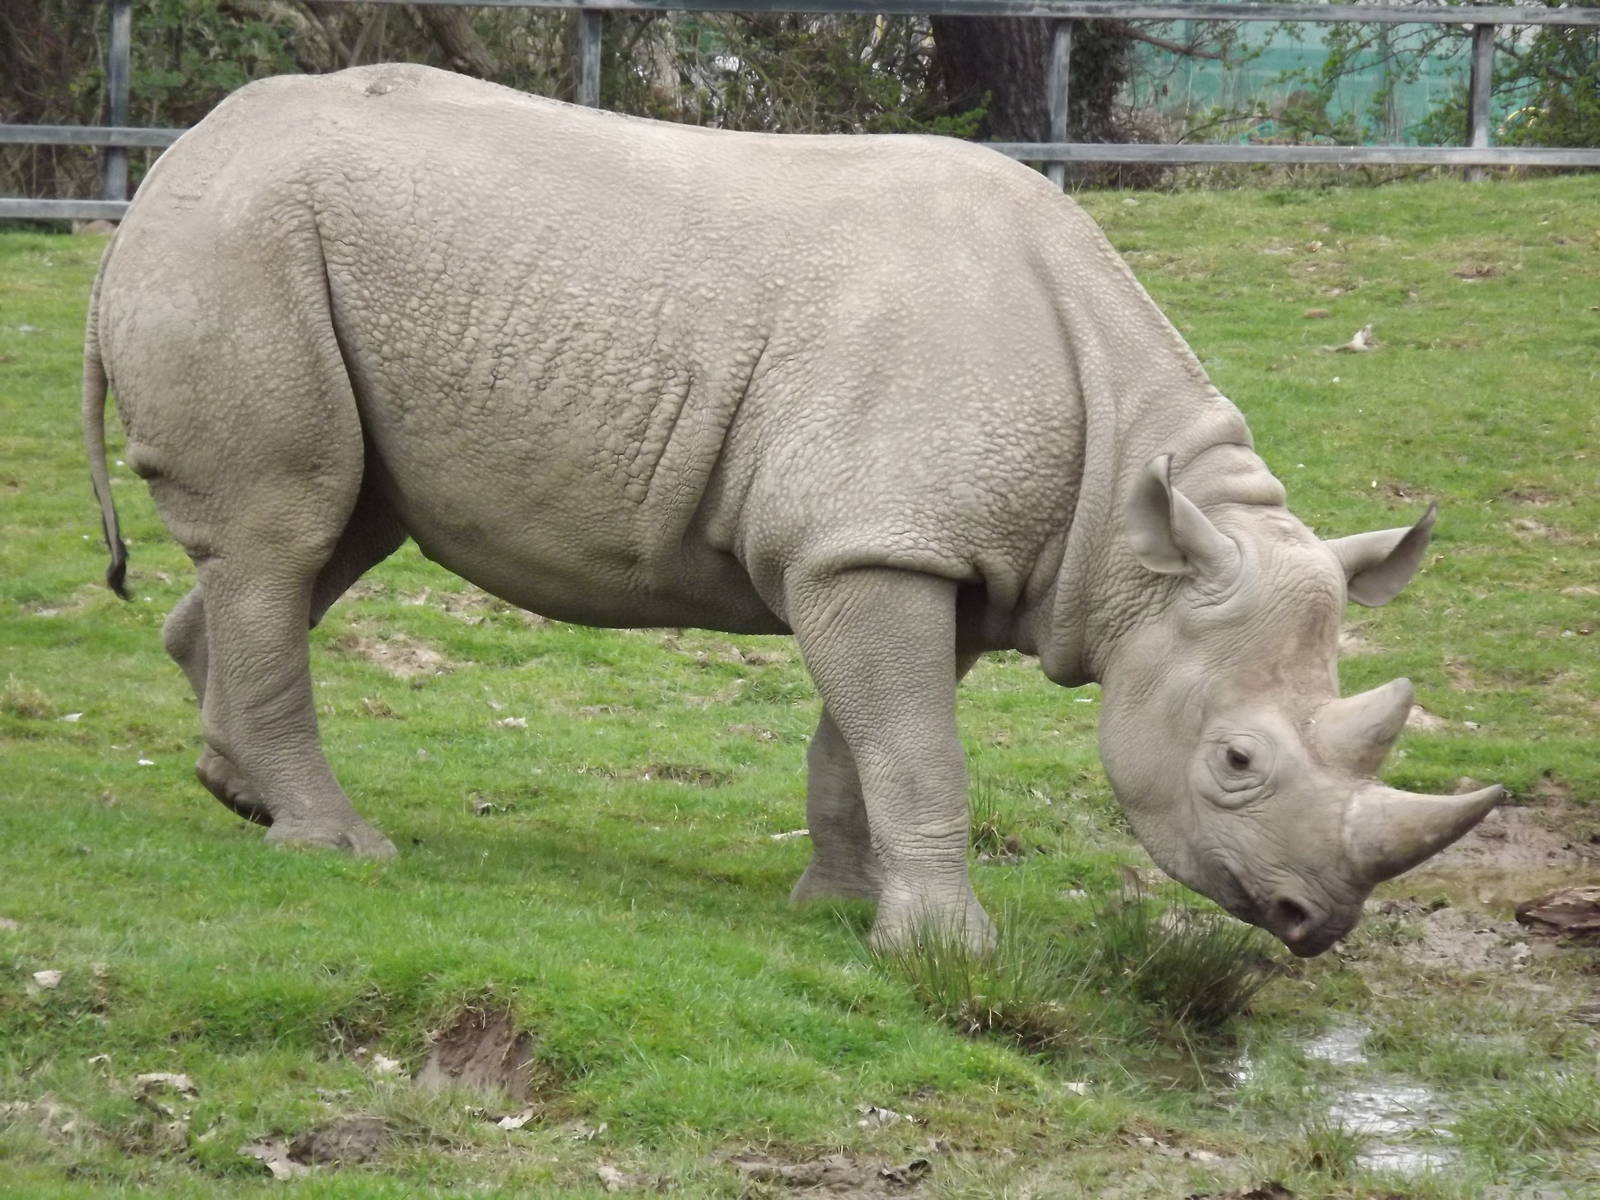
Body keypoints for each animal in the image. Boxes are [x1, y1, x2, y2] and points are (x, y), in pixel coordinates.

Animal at [84, 64, 1501, 958]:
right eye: (1237, 764)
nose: (1318, 925)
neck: (1137, 532)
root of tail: (167, 166)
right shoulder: (872, 547)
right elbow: (917, 748)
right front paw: (949, 953)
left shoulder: (893, 547)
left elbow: (856, 746)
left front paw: (834, 911)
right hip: (244, 245)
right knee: (287, 527)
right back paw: (339, 851)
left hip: (271, 255)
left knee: (323, 537)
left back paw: (241, 798)